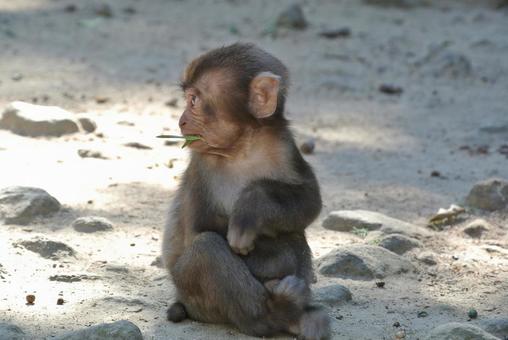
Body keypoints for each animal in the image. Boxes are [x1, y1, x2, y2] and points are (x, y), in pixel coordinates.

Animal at [161, 43, 332, 338]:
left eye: (194, 101)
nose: (182, 121)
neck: (242, 147)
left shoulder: (284, 146)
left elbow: (310, 200)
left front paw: (251, 208)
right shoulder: (202, 165)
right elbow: (199, 230)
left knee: (293, 233)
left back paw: (300, 317)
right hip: (194, 296)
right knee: (207, 248)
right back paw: (273, 314)